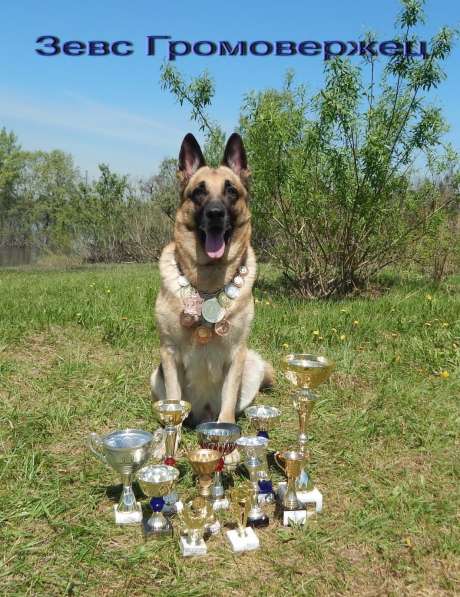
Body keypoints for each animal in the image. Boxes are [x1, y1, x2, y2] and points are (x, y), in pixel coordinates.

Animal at [151, 133, 274, 426]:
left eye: (231, 191)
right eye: (199, 191)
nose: (216, 213)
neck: (207, 284)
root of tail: (203, 414)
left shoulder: (236, 353)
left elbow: (228, 404)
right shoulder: (168, 353)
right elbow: (174, 400)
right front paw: (168, 435)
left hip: (252, 362)